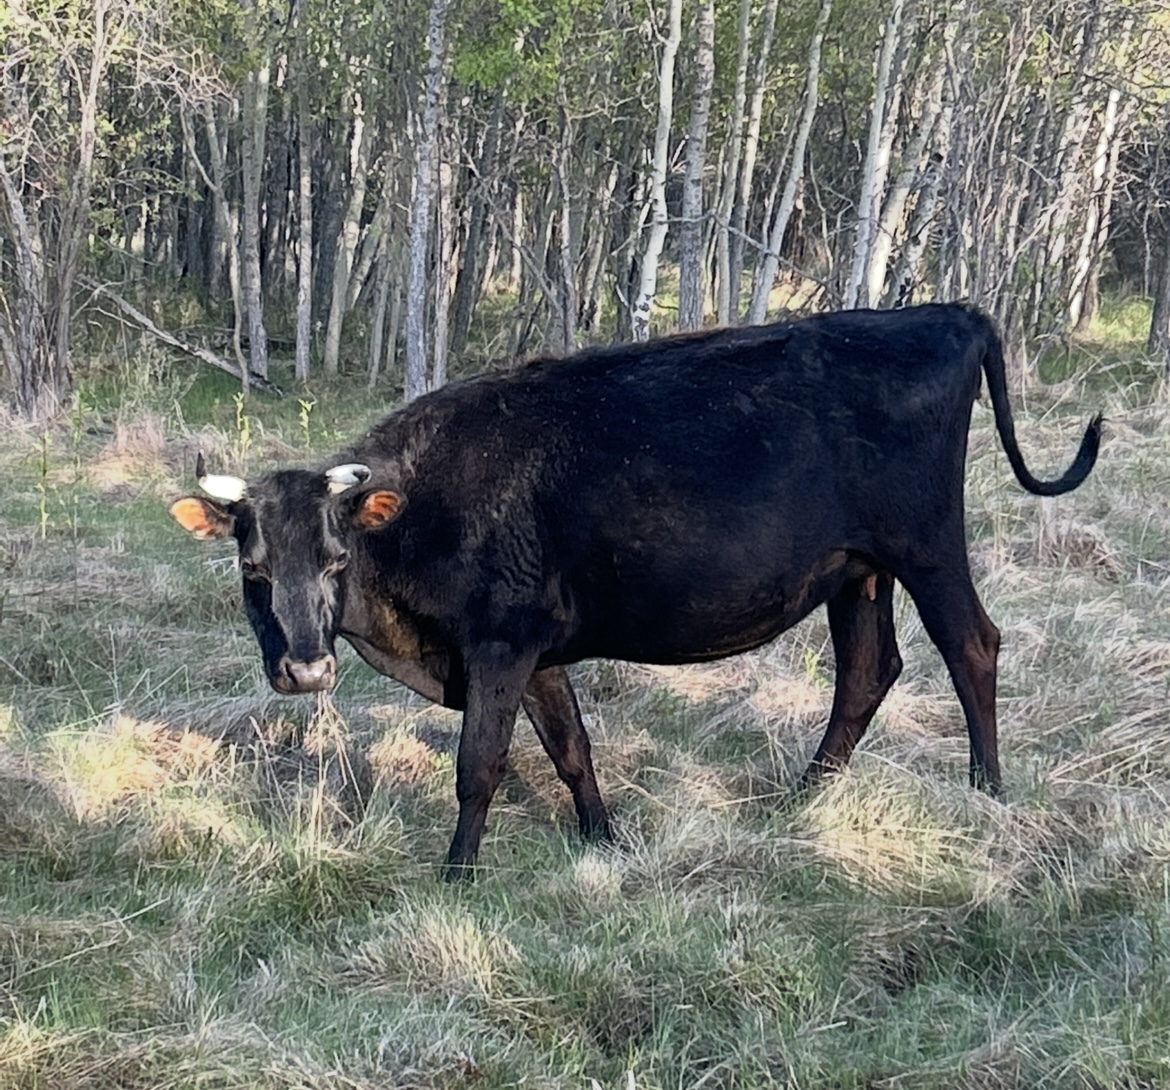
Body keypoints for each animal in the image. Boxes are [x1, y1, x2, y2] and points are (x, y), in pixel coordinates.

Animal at [169, 304, 1101, 879]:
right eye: (253, 572)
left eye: (336, 560)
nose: (304, 672)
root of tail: (951, 314)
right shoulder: (536, 650)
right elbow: (571, 747)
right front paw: (603, 837)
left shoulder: (501, 641)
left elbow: (481, 765)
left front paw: (458, 872)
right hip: (857, 571)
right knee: (868, 671)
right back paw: (805, 795)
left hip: (928, 547)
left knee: (971, 645)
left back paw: (987, 792)